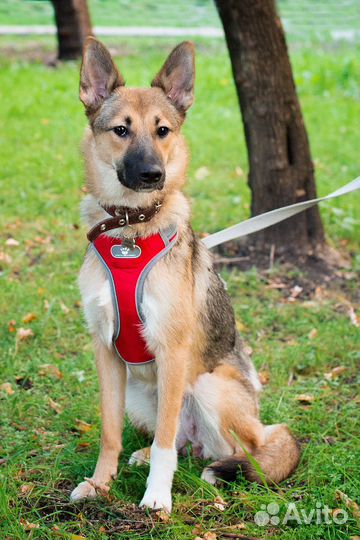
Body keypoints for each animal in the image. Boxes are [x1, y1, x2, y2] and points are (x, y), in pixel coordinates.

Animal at [69, 37, 300, 510]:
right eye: (121, 130)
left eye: (163, 131)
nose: (153, 174)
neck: (132, 230)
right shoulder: (105, 352)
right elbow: (110, 432)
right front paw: (101, 484)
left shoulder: (172, 351)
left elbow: (164, 441)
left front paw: (158, 497)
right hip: (140, 393)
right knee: (178, 439)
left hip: (209, 387)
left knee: (239, 447)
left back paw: (222, 471)